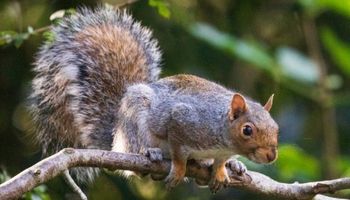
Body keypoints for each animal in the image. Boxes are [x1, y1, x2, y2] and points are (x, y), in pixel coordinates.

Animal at [28, 6, 278, 192]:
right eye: (247, 130)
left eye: (276, 127)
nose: (271, 155)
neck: (221, 131)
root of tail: (116, 137)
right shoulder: (183, 120)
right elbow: (178, 151)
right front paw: (179, 169)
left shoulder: (220, 152)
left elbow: (219, 162)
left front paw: (220, 170)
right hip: (134, 124)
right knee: (136, 156)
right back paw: (150, 153)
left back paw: (234, 165)